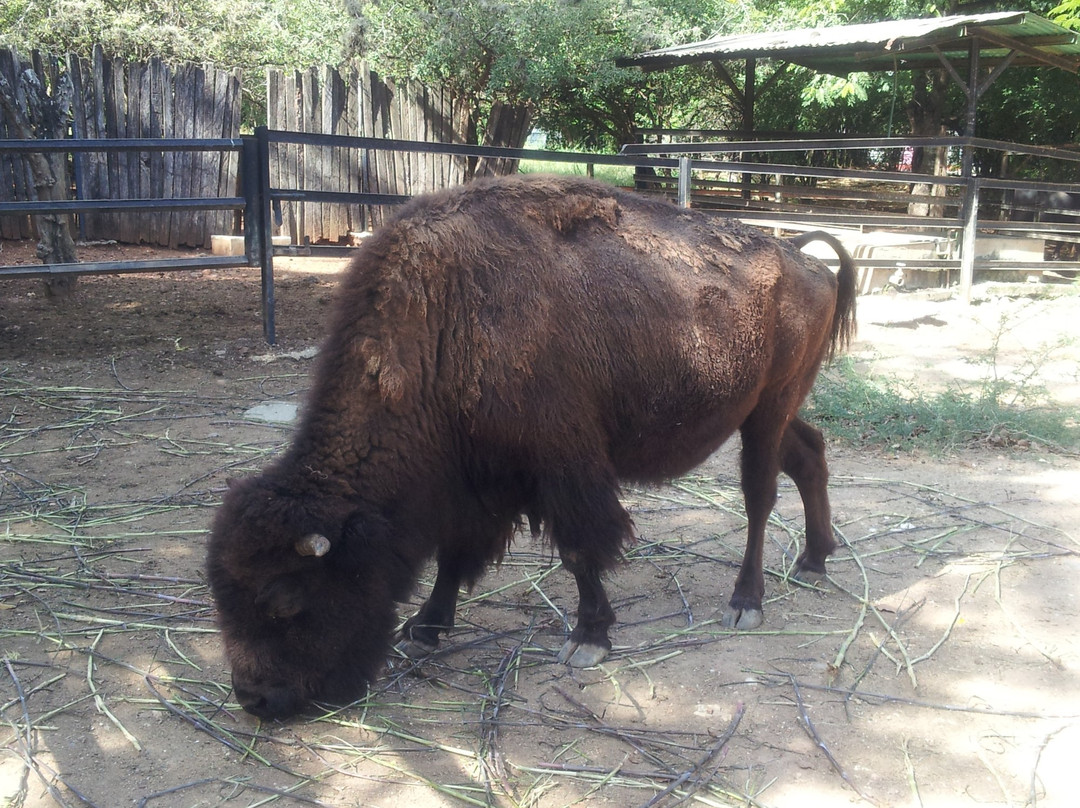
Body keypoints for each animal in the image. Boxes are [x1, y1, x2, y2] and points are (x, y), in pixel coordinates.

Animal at [206, 173, 855, 717]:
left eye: (285, 600)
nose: (255, 699)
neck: (444, 320)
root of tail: (804, 257)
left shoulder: (563, 466)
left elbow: (579, 549)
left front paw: (588, 638)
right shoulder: (477, 480)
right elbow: (455, 552)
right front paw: (425, 626)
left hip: (766, 409)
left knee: (760, 493)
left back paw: (747, 601)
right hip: (772, 409)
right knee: (810, 455)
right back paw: (814, 558)